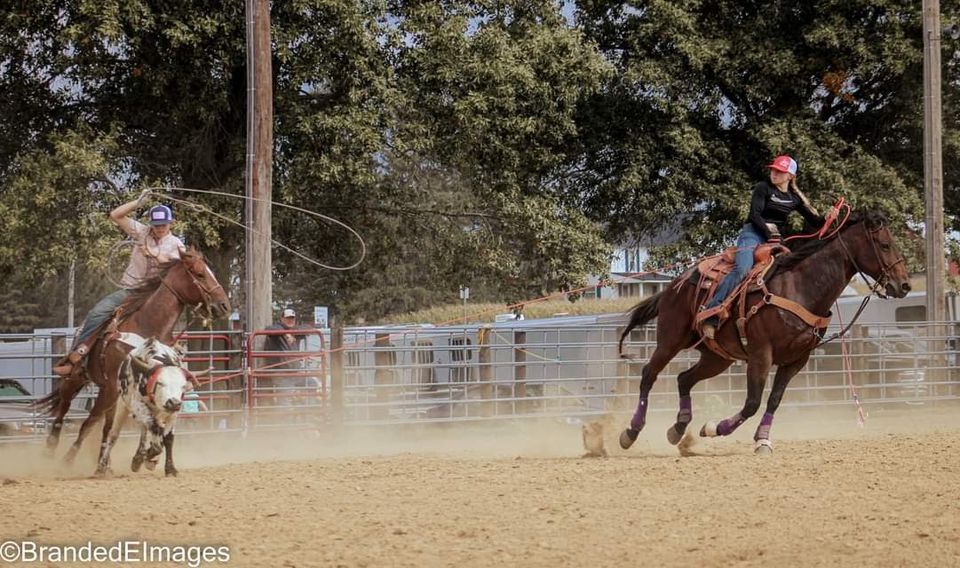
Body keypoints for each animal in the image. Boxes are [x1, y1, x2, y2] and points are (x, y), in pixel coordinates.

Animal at [37, 247, 230, 474]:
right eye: (200, 274)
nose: (224, 305)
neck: (146, 328)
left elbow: (140, 424)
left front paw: (144, 457)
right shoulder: (113, 387)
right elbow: (89, 423)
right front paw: (68, 460)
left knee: (106, 425)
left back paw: (106, 463)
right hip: (79, 378)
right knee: (66, 406)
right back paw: (51, 448)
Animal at [616, 210, 911, 454]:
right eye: (885, 245)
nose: (905, 285)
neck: (800, 287)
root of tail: (674, 284)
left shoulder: (796, 360)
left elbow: (774, 400)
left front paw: (762, 440)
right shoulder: (761, 354)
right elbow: (752, 402)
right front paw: (715, 428)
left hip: (717, 357)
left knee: (683, 379)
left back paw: (677, 430)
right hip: (671, 339)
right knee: (648, 375)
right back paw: (630, 432)